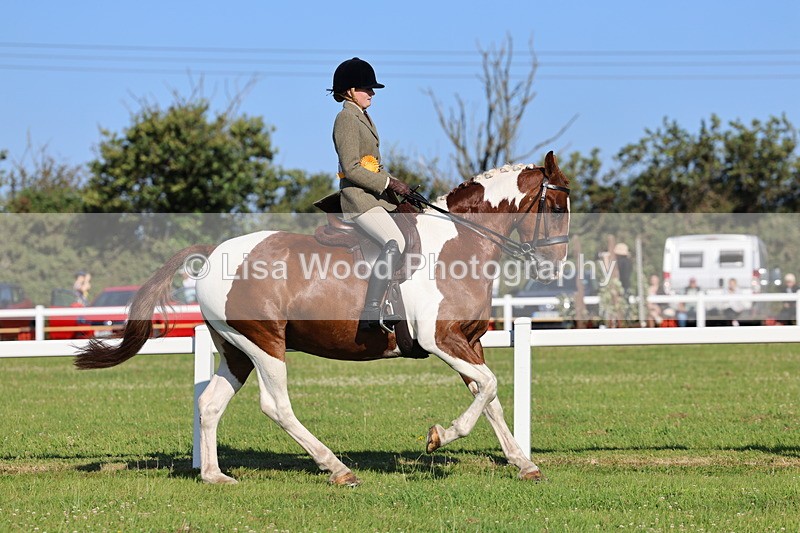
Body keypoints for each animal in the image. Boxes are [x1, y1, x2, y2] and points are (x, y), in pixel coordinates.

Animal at [74, 151, 571, 486]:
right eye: (556, 207)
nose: (556, 269)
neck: (459, 243)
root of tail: (214, 254)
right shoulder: (440, 340)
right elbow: (487, 388)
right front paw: (439, 436)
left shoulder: (469, 342)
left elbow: (490, 397)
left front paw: (523, 462)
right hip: (265, 344)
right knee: (276, 406)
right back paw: (337, 468)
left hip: (236, 350)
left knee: (211, 403)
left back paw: (216, 476)